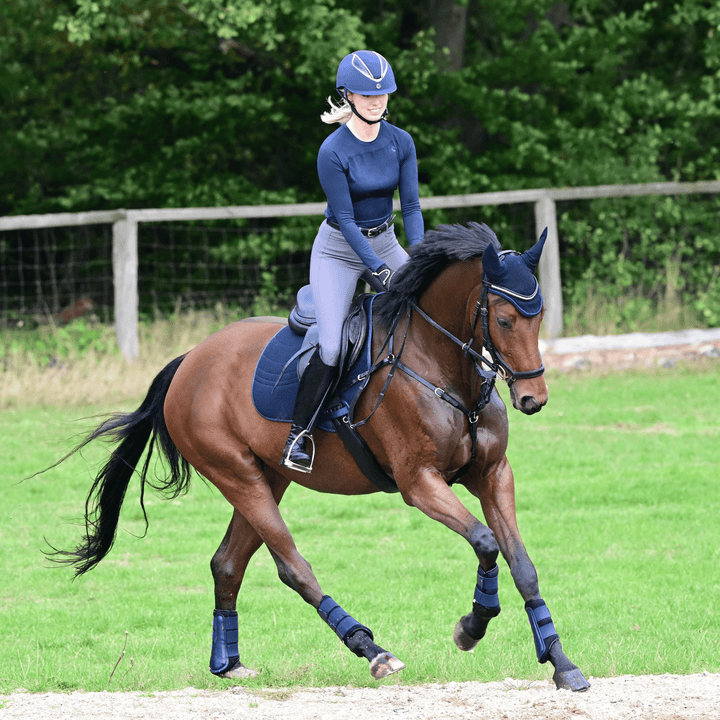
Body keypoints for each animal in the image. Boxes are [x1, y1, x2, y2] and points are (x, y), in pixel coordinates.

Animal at [47, 222, 590, 692]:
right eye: (504, 319)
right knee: (292, 567)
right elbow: (484, 542)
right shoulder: (420, 482)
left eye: (539, 317)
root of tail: (190, 360)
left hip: (269, 477)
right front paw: (471, 627)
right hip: (237, 475)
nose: (533, 399)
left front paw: (561, 663)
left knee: (227, 563)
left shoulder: (494, 475)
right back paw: (372, 650)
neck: (443, 367)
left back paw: (229, 664)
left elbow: (522, 564)